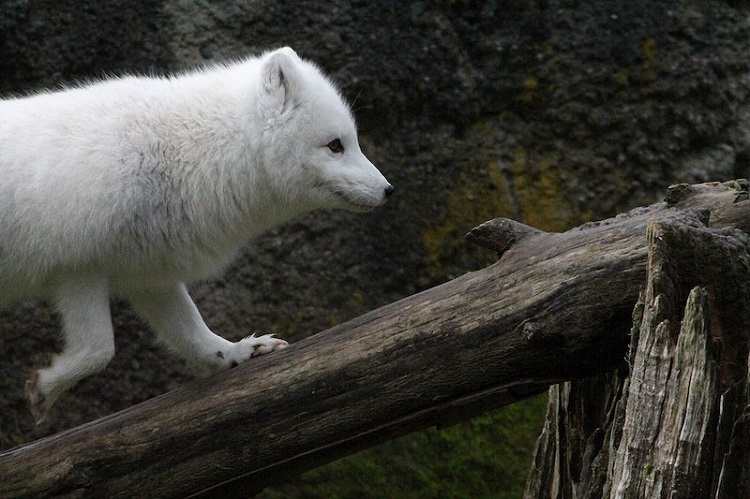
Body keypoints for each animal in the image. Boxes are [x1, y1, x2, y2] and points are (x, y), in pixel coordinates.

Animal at [0, 47, 396, 422]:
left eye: (351, 141)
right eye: (335, 145)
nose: (389, 190)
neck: (188, 152)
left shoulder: (148, 273)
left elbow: (191, 331)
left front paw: (238, 352)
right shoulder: (78, 271)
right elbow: (99, 350)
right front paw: (43, 389)